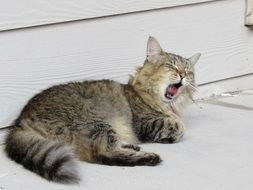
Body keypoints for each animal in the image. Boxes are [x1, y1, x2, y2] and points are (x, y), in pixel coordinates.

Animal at [4, 36, 200, 184]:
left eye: (188, 71)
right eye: (171, 66)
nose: (183, 75)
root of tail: (20, 120)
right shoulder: (146, 124)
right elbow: (179, 126)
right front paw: (174, 130)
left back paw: (131, 146)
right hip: (98, 124)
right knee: (102, 155)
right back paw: (148, 157)